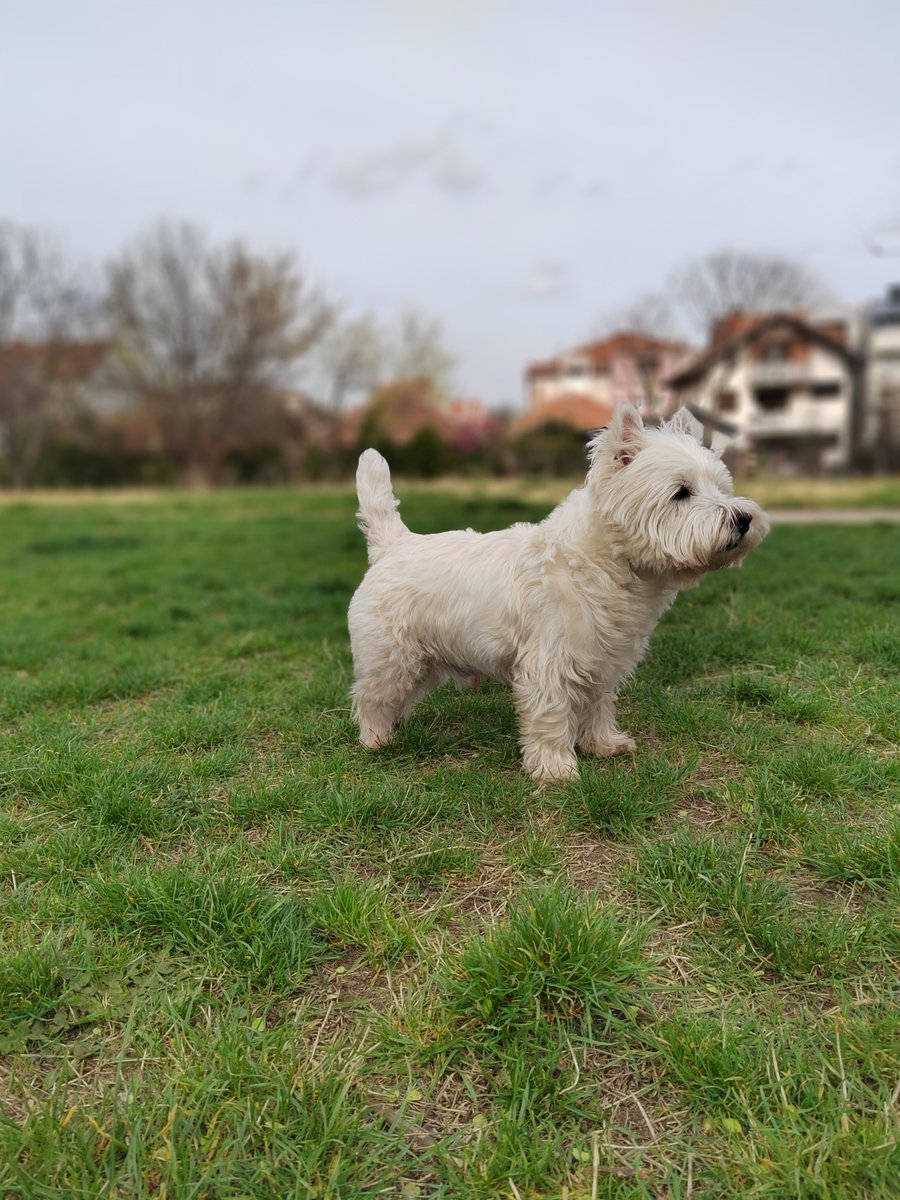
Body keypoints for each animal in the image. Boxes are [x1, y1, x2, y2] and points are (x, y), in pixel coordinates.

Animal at [348, 408, 772, 782]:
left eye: (722, 488)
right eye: (681, 493)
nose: (744, 519)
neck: (602, 562)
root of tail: (393, 544)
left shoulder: (602, 660)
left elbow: (598, 706)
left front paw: (602, 744)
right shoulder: (549, 662)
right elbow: (551, 717)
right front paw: (555, 770)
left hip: (421, 661)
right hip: (392, 656)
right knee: (369, 697)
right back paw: (377, 740)